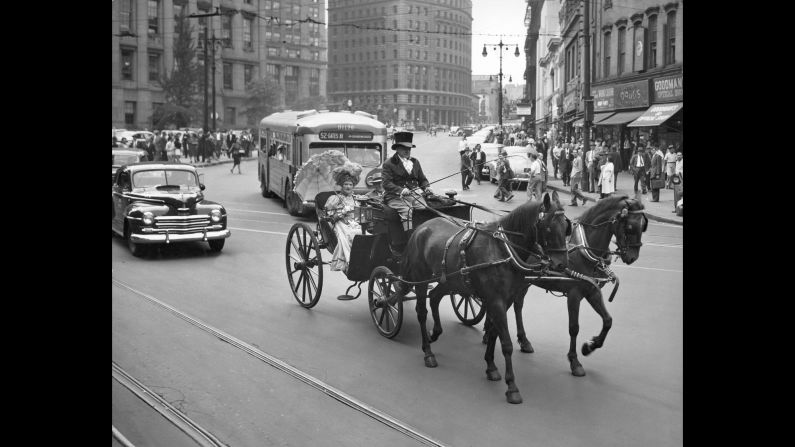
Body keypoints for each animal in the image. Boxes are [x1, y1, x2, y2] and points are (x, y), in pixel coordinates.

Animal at [402, 192, 568, 406]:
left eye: (566, 227)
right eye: (548, 228)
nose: (561, 265)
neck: (503, 250)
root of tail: (421, 228)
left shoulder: (504, 301)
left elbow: (494, 333)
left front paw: (491, 366)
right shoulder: (496, 301)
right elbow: (506, 343)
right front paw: (512, 386)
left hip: (450, 280)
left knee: (435, 298)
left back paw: (435, 333)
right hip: (421, 278)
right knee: (422, 312)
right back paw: (428, 351)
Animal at [486, 196, 648, 378]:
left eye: (643, 225)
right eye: (629, 226)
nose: (633, 257)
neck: (584, 251)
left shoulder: (592, 291)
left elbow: (608, 321)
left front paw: (589, 346)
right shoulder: (574, 294)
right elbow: (574, 328)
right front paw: (574, 361)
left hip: (523, 283)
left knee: (517, 305)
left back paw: (521, 340)